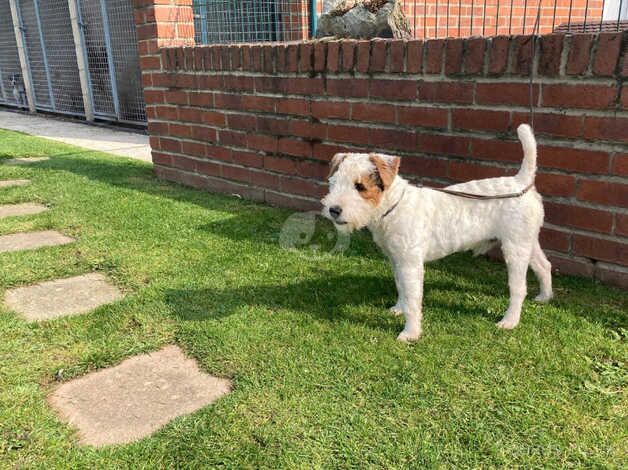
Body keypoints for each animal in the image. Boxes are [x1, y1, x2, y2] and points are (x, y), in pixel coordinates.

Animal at [322, 125, 552, 342]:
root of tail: (521, 182)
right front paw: (398, 309)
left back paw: (509, 321)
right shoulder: (397, 260)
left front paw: (410, 333)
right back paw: (545, 297)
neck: (394, 205)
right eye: (333, 183)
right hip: (528, 242)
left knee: (518, 288)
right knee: (544, 266)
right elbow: (401, 288)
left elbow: (413, 300)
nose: (333, 210)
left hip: (515, 249)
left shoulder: (411, 264)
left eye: (360, 186)